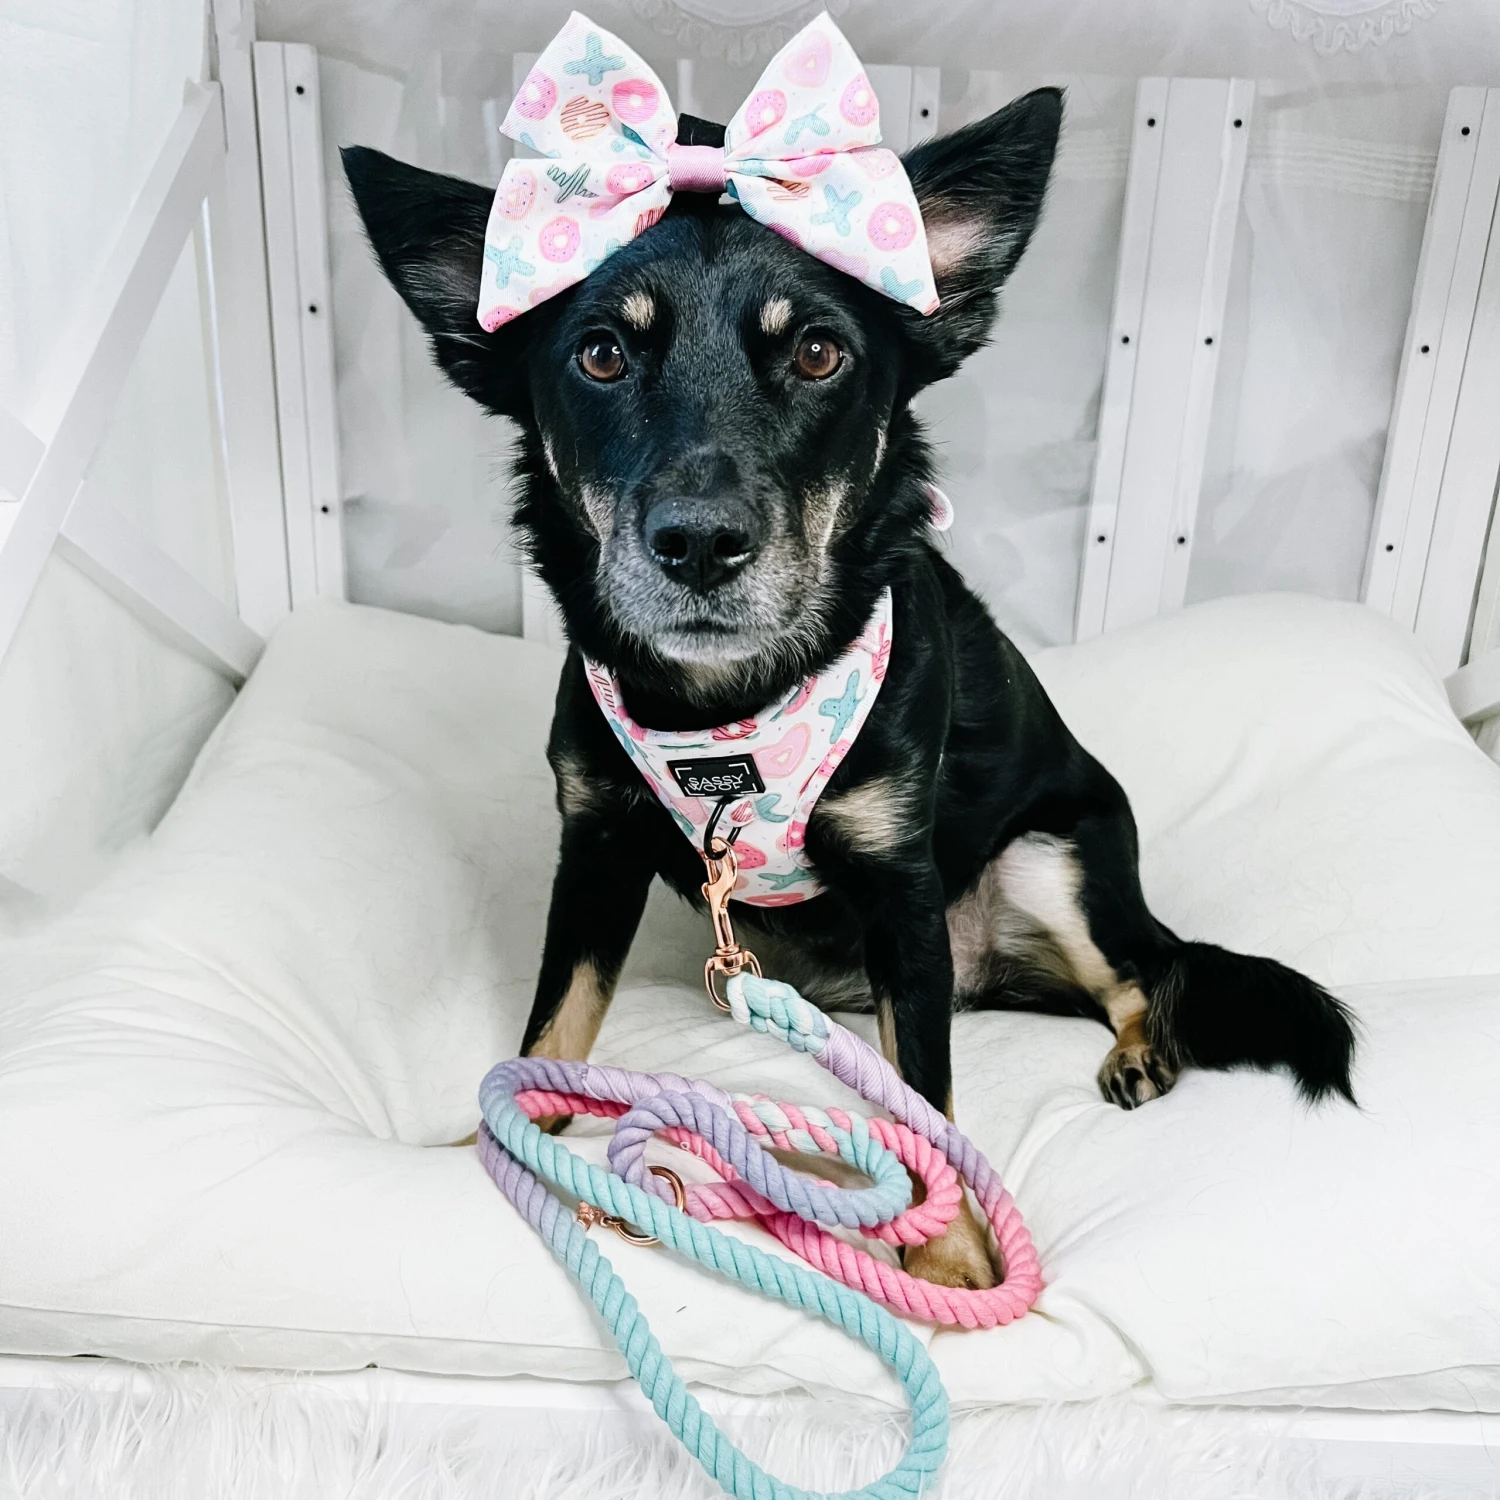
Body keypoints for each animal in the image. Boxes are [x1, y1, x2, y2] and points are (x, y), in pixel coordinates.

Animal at [343, 86, 1356, 1292]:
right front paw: (499, 1143)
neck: (722, 707)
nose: (699, 545)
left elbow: (927, 1103)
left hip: (1052, 856)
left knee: (1147, 981)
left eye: (821, 352)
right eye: (599, 356)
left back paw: (1141, 1054)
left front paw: (956, 1260)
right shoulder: (593, 850)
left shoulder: (899, 890)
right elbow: (554, 1024)